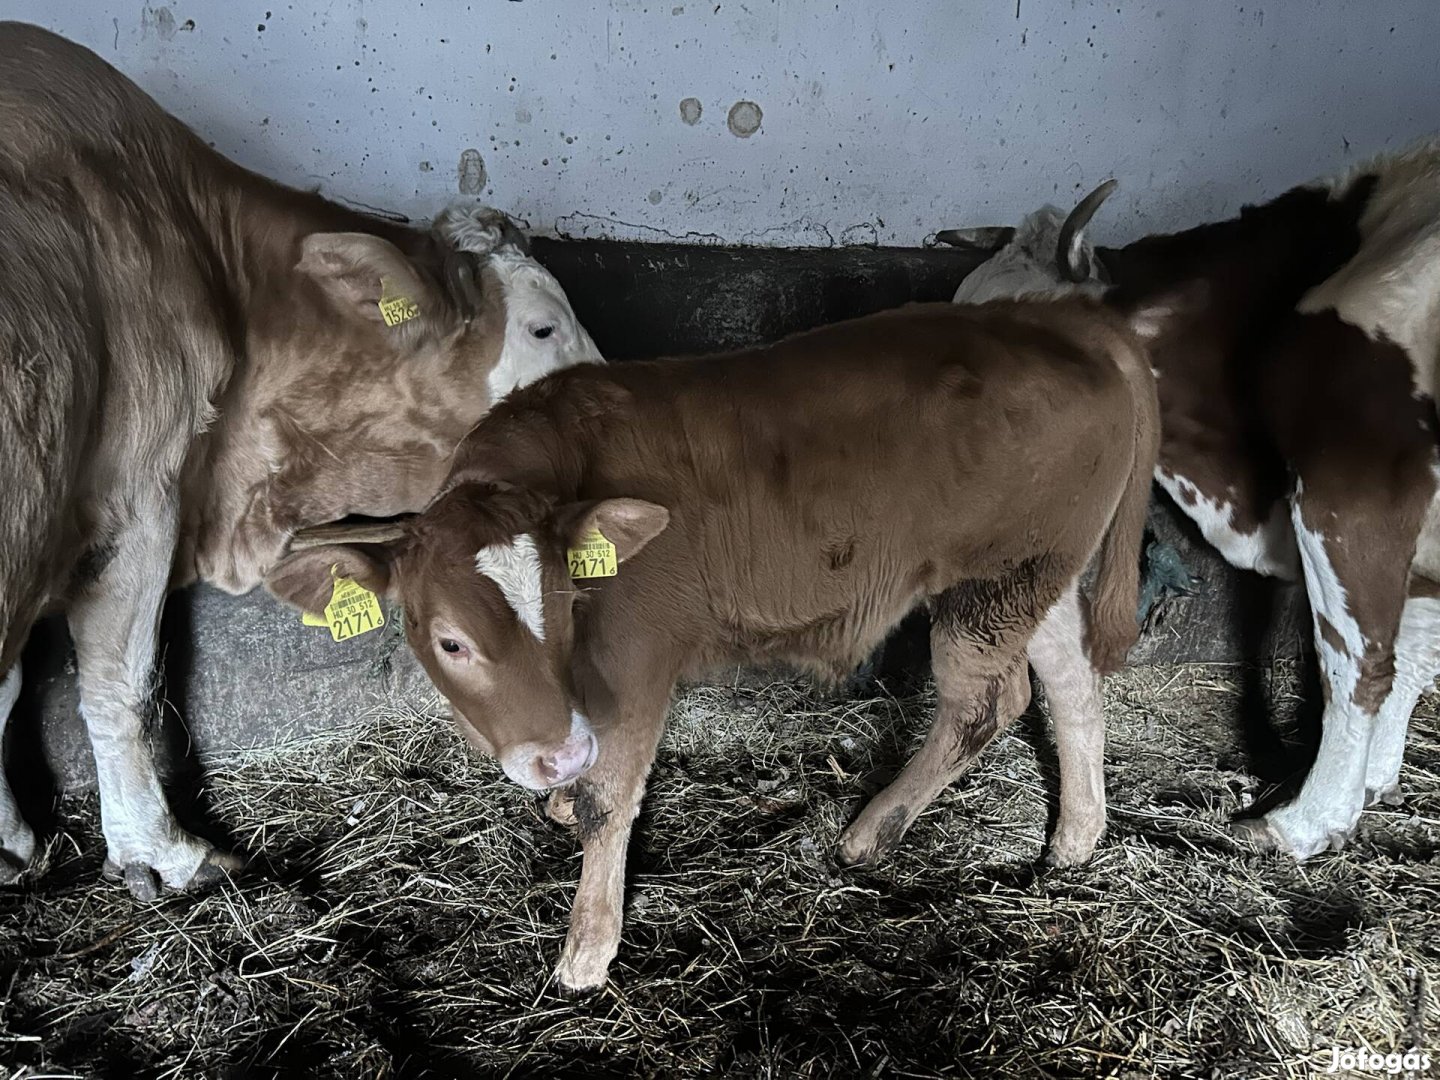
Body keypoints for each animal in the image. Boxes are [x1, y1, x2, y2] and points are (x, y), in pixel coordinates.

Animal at [264, 300, 1157, 996]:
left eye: (566, 606)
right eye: (450, 640)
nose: (557, 755)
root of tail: (1053, 313)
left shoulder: (635, 660)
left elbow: (612, 799)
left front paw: (588, 947)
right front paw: (564, 802)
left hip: (993, 585)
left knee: (984, 703)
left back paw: (873, 830)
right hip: (1033, 574)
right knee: (1069, 682)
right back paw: (1076, 837)